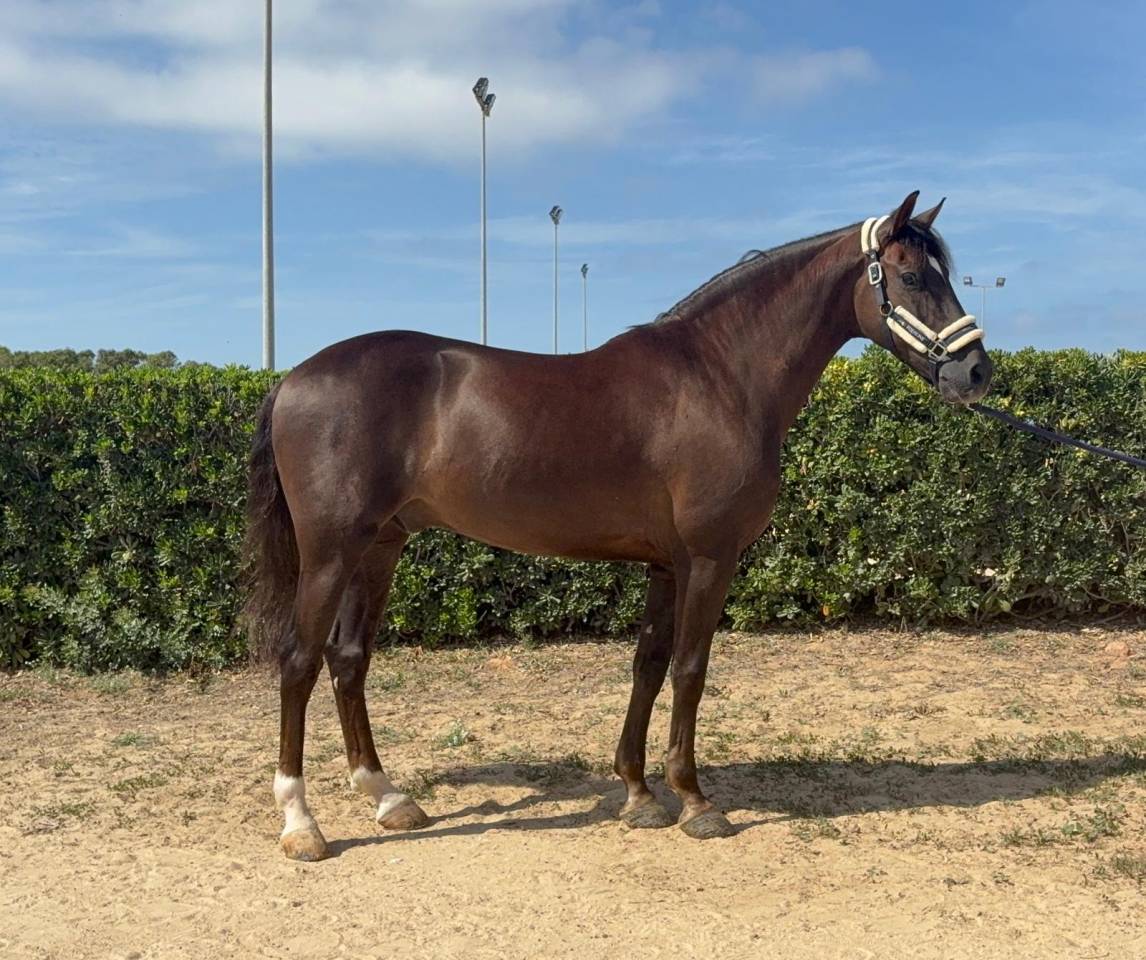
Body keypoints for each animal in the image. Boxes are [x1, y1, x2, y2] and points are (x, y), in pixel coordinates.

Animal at [244, 190, 992, 861]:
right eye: (914, 277)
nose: (977, 371)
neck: (721, 378)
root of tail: (293, 378)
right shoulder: (710, 559)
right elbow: (690, 669)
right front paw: (694, 800)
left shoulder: (667, 563)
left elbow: (648, 667)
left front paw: (638, 793)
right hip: (331, 553)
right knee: (299, 662)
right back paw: (301, 824)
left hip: (381, 547)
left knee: (348, 659)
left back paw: (388, 798)